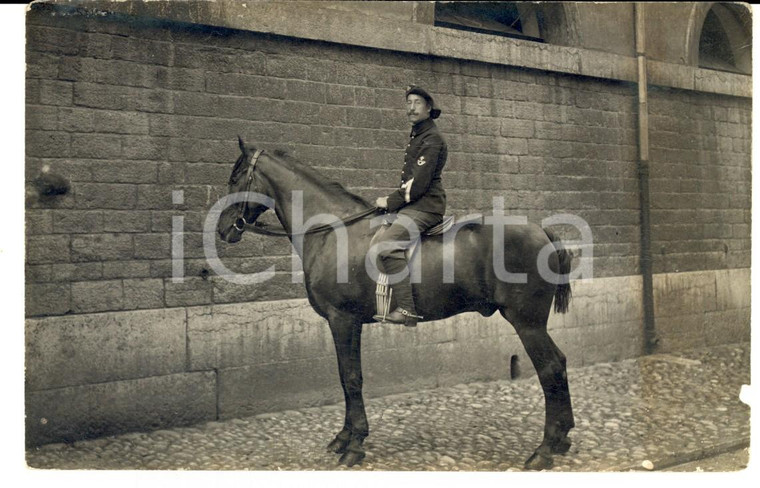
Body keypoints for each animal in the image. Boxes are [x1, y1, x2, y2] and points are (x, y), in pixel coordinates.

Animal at [217, 137, 572, 468]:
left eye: (235, 178)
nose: (222, 229)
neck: (333, 232)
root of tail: (542, 231)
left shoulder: (343, 319)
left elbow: (351, 378)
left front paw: (354, 444)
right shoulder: (345, 323)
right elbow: (346, 378)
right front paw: (344, 437)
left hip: (527, 322)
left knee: (550, 368)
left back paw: (544, 450)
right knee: (560, 362)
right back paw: (562, 439)